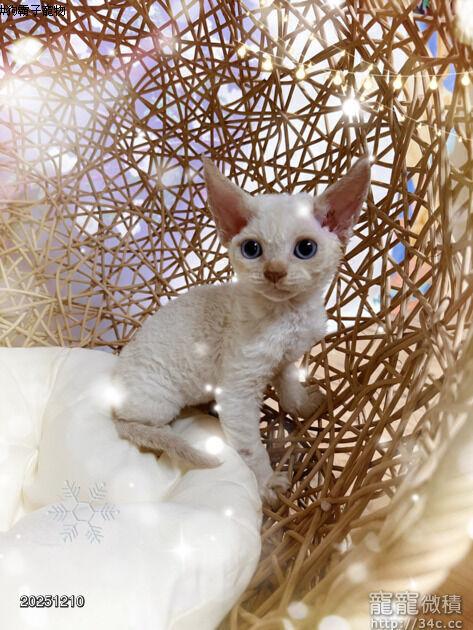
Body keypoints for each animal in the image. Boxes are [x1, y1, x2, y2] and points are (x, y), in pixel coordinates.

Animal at [112, 156, 371, 505]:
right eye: (252, 249)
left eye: (305, 248)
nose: (274, 272)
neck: (288, 316)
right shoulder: (237, 391)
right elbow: (250, 449)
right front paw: (266, 484)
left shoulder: (286, 361)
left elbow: (290, 391)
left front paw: (305, 405)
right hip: (159, 398)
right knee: (129, 425)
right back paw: (168, 437)